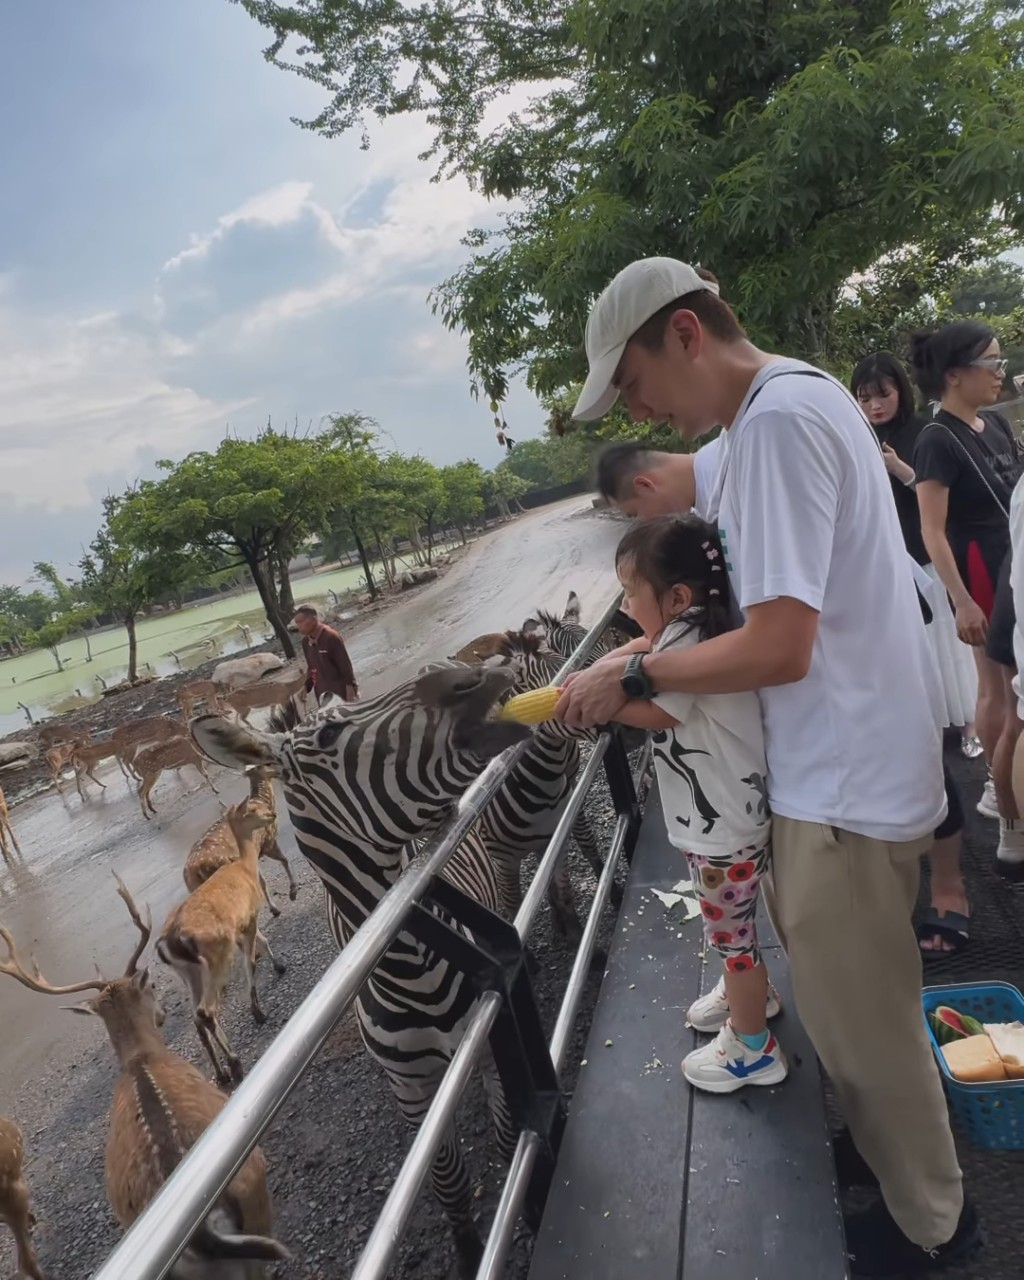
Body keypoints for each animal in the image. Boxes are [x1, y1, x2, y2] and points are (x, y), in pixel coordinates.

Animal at [160, 803, 288, 1085]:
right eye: (251, 809)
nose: (272, 815)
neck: (245, 867)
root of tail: (170, 943)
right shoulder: (249, 918)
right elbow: (251, 960)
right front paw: (257, 1009)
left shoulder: (243, 925)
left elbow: (261, 943)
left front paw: (279, 965)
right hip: (215, 955)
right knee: (205, 1011)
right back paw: (236, 1063)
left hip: (189, 973)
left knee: (196, 1016)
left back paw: (221, 1073)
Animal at [185, 768, 298, 911]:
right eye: (266, 764)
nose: (282, 771)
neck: (263, 802)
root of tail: (195, 870)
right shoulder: (268, 841)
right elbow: (284, 860)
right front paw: (291, 892)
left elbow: (262, 880)